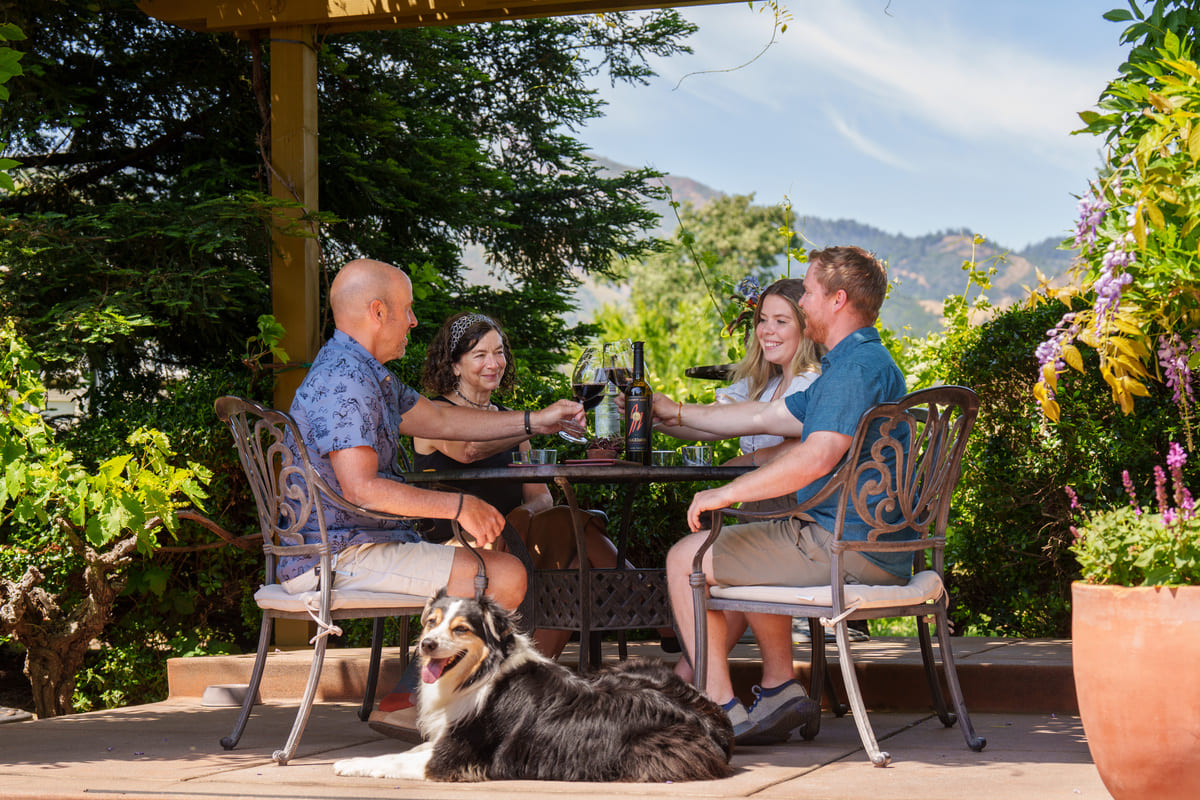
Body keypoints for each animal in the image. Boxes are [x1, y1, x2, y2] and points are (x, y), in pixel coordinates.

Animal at [333, 587, 734, 782]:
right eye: (431, 622)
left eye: (460, 629)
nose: (427, 645)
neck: (480, 674)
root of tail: (712, 722)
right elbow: (406, 751)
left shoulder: (454, 759)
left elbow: (395, 761)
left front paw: (349, 763)